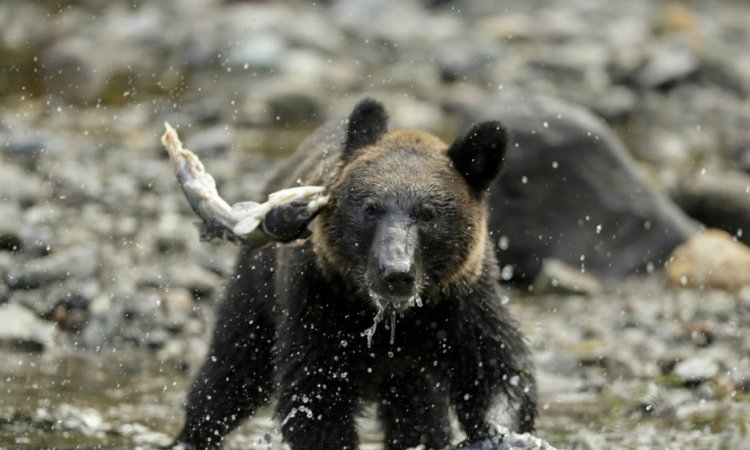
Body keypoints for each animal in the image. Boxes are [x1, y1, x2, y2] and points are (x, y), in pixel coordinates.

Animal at [174, 98, 537, 450]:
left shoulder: (462, 303)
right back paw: (192, 434)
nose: (396, 273)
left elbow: (496, 371)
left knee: (418, 409)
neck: (395, 318)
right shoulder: (319, 301)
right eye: (371, 208)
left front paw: (501, 432)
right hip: (259, 286)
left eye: (428, 214)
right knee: (234, 368)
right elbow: (314, 393)